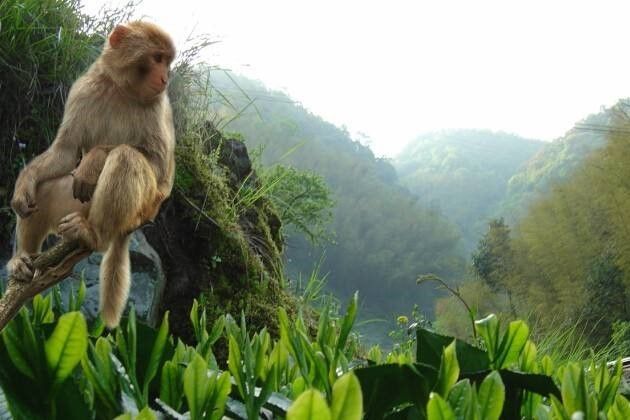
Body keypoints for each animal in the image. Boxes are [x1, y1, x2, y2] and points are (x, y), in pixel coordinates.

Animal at [7, 20, 177, 328]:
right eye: (158, 58)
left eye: (167, 61)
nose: (165, 78)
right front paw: (24, 184)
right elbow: (65, 151)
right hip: (78, 204)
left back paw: (95, 236)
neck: (121, 89)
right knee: (46, 189)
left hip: (143, 206)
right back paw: (23, 258)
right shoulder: (83, 89)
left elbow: (160, 168)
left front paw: (95, 158)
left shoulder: (159, 105)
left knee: (125, 157)